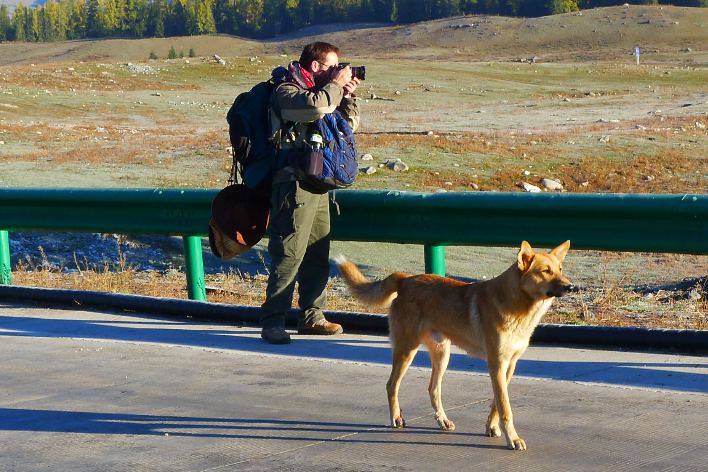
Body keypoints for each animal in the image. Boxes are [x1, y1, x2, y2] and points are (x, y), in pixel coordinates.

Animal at [334, 242, 572, 452]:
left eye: (560, 269)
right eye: (545, 271)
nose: (572, 287)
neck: (518, 305)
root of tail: (405, 279)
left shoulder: (509, 365)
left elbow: (497, 403)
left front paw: (491, 427)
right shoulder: (496, 365)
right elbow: (505, 408)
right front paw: (512, 439)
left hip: (442, 355)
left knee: (433, 389)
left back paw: (443, 420)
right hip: (406, 350)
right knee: (391, 385)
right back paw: (396, 418)